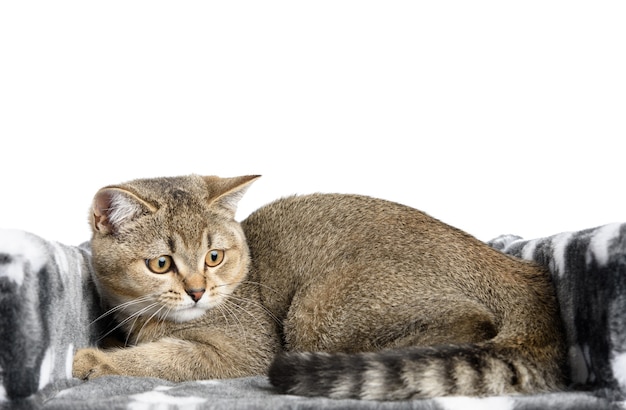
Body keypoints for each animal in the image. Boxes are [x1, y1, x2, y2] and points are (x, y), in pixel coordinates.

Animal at [70, 174, 564, 400]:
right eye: (161, 264)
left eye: (214, 257)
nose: (196, 291)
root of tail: (518, 271)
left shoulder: (243, 351)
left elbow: (165, 359)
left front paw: (92, 360)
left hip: (317, 305)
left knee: (471, 325)